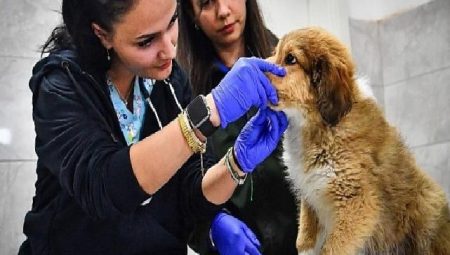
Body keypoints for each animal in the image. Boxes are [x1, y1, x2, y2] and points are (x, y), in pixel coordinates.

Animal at [268, 26, 450, 254]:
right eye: (275, 52)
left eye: (290, 58)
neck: (318, 125)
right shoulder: (309, 196)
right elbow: (305, 240)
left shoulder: (357, 202)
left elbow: (331, 248)